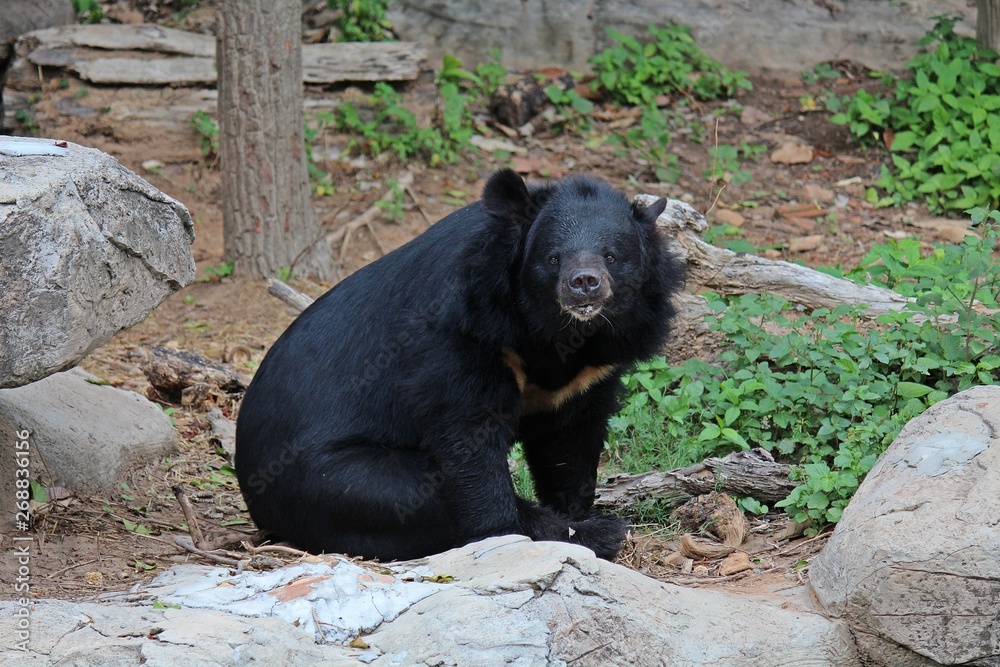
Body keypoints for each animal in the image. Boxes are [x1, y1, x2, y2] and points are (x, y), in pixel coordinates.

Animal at [236, 170, 688, 560]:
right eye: (553, 258)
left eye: (612, 256)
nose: (584, 283)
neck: (554, 329)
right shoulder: (461, 337)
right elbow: (468, 438)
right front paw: (512, 533)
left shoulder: (590, 371)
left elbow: (570, 440)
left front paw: (578, 511)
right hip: (329, 479)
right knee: (411, 492)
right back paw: (600, 533)